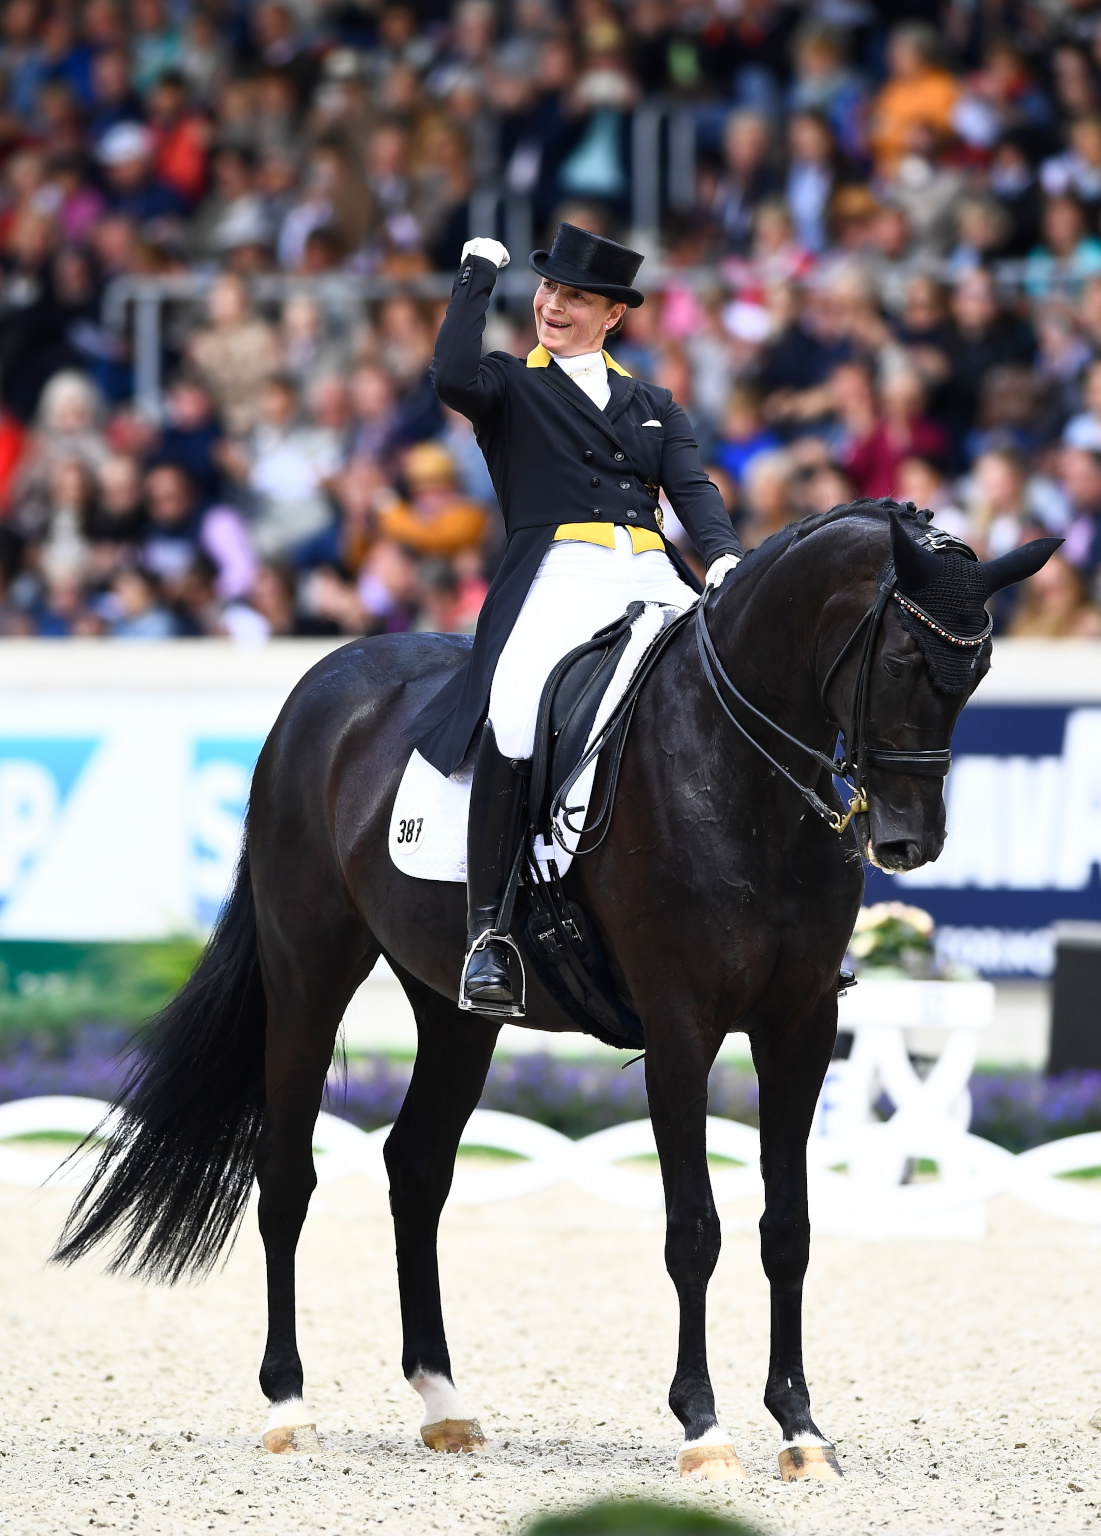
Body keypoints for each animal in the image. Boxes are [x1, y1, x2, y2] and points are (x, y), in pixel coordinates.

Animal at [53, 497, 1056, 1480]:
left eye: (978, 672)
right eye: (900, 660)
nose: (906, 840)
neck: (737, 772)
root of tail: (326, 681)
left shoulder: (799, 1026)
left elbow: (789, 1228)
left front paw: (800, 1428)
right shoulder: (680, 1027)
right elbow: (693, 1228)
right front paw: (703, 1425)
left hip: (454, 1012)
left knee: (416, 1169)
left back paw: (444, 1403)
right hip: (309, 971)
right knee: (287, 1171)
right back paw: (289, 1405)